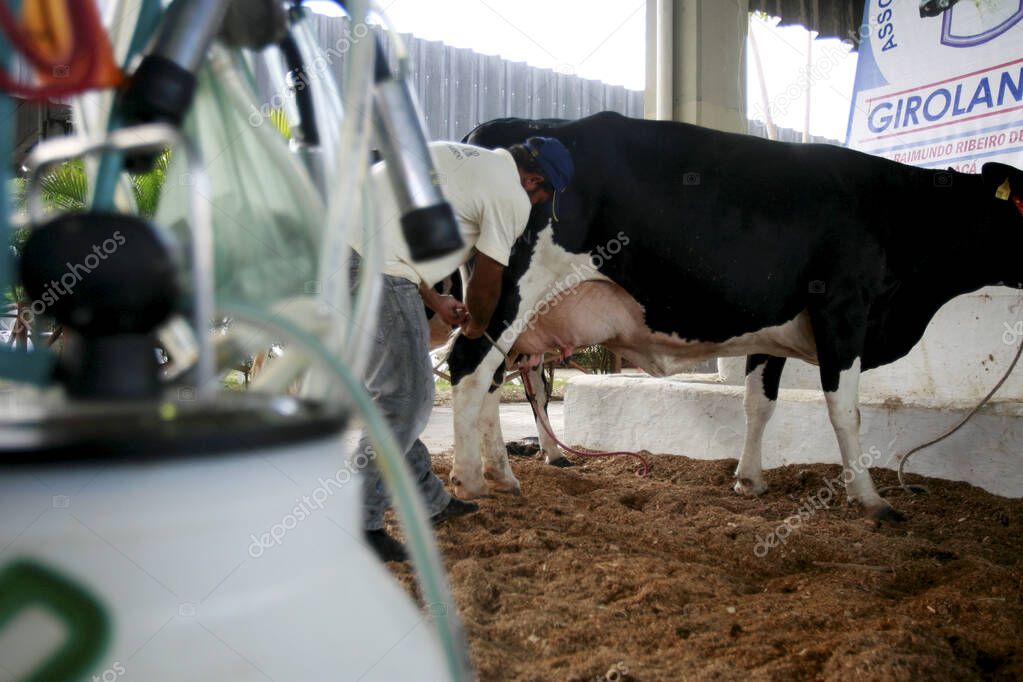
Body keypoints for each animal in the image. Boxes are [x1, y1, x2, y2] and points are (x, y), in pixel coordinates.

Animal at [446, 111, 1023, 519]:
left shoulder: (771, 333)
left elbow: (758, 405)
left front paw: (749, 480)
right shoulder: (842, 309)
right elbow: (845, 411)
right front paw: (870, 498)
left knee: (496, 381)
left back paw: (503, 474)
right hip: (510, 294)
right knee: (470, 368)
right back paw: (471, 480)